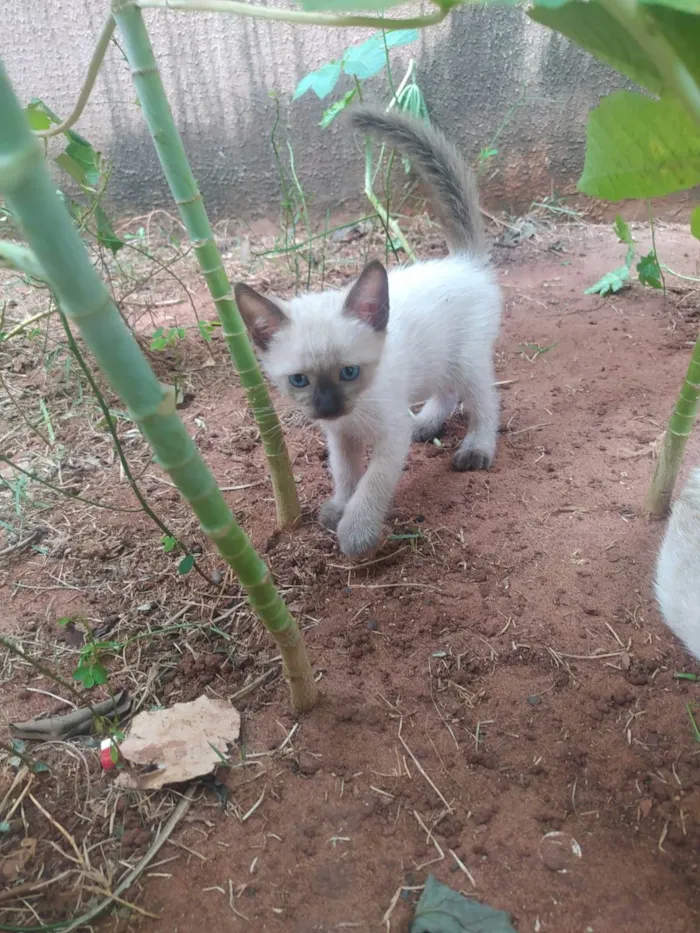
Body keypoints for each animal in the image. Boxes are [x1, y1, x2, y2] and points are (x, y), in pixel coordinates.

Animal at [235, 109, 504, 560]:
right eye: (299, 380)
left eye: (349, 372)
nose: (327, 406)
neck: (354, 415)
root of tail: (463, 261)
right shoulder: (339, 436)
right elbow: (345, 474)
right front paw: (338, 508)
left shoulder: (390, 435)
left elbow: (372, 484)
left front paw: (356, 531)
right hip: (437, 360)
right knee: (447, 392)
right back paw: (425, 423)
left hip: (467, 358)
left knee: (484, 401)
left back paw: (476, 449)